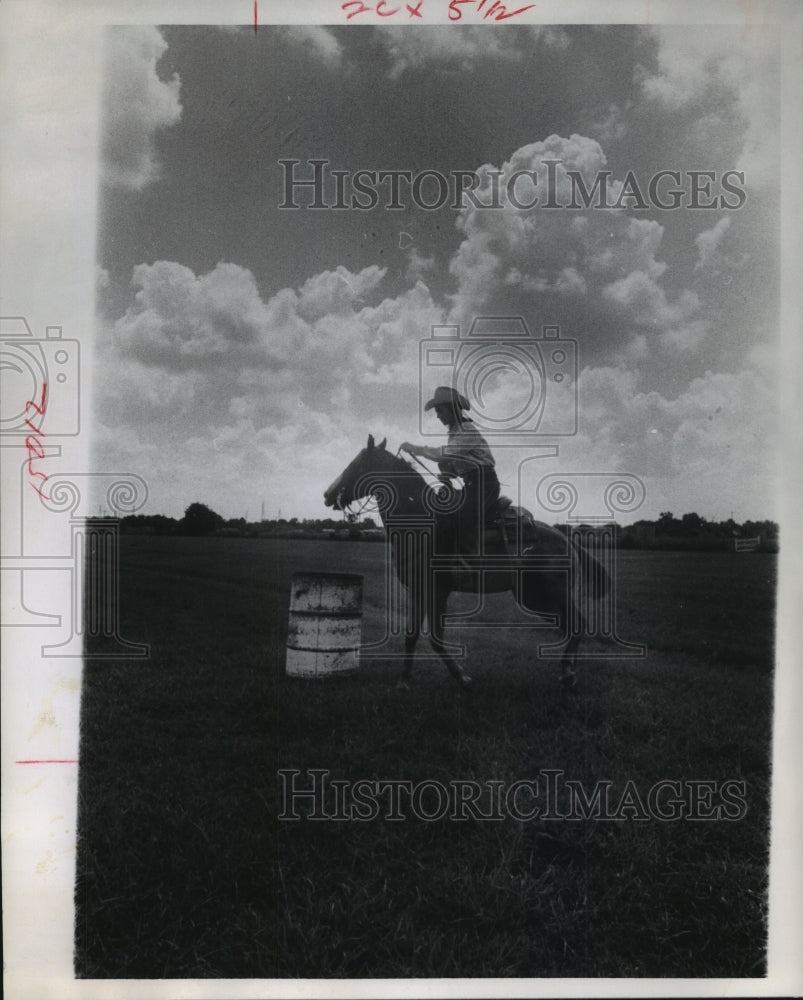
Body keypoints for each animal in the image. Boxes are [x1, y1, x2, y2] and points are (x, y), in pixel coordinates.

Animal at [322, 434, 608, 692]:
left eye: (356, 464)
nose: (327, 494)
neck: (421, 526)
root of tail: (566, 539)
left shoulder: (437, 592)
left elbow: (435, 639)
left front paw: (462, 677)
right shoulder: (418, 591)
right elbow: (411, 635)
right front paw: (404, 679)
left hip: (550, 593)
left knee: (578, 624)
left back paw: (568, 672)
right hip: (533, 596)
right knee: (571, 626)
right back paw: (568, 671)